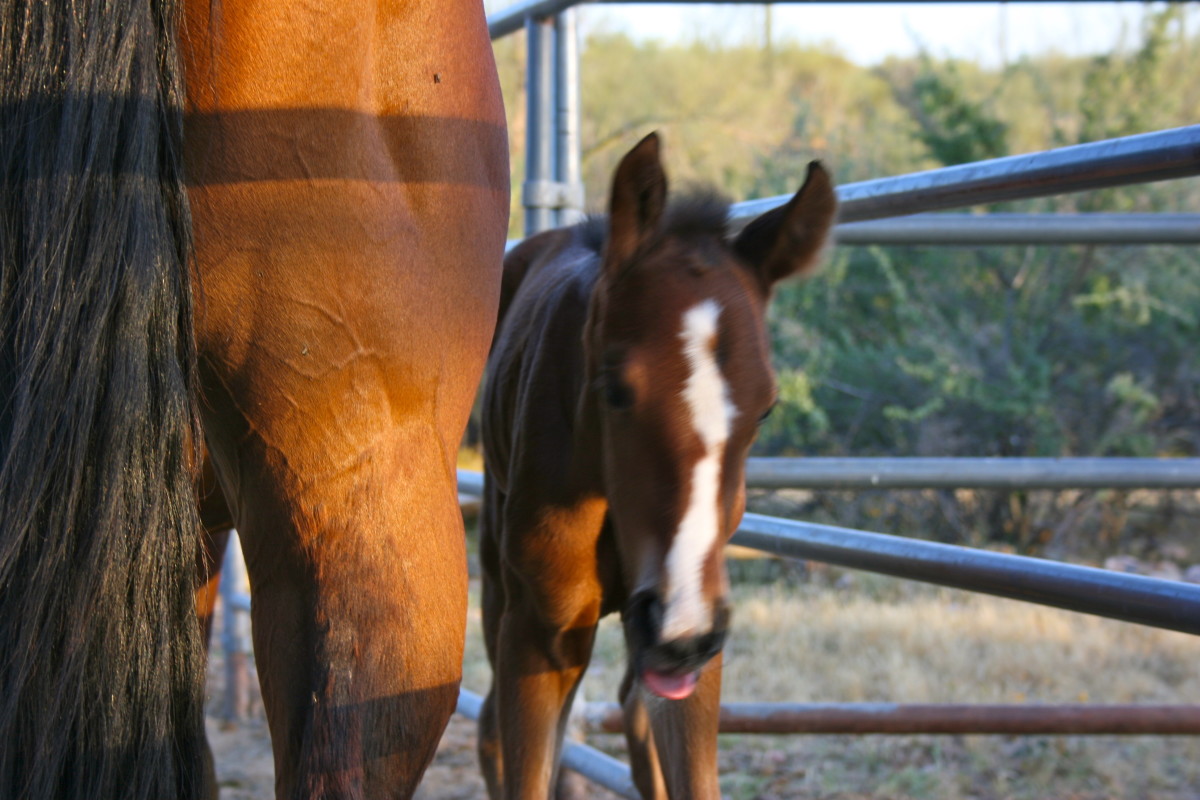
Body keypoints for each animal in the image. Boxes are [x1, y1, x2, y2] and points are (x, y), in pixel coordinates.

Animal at [476, 132, 836, 800]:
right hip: (497, 574)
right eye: (616, 390)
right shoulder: (541, 632)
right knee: (490, 726)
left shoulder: (698, 645)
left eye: (767, 406)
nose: (680, 627)